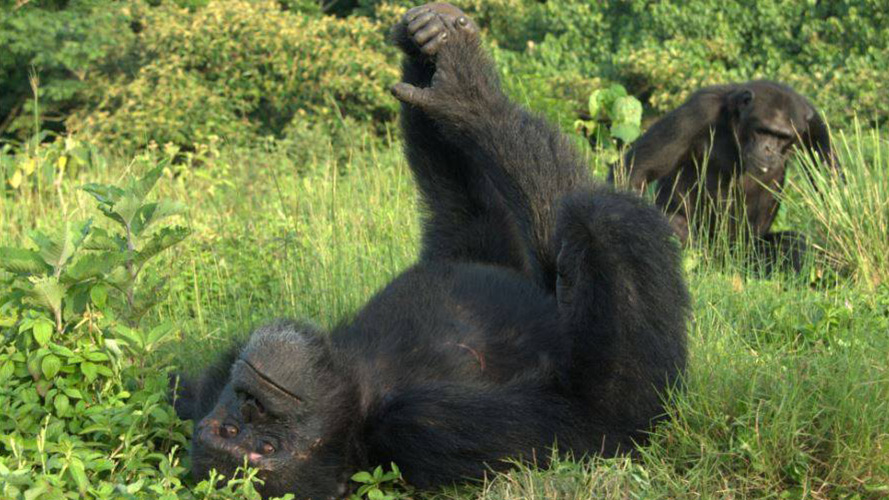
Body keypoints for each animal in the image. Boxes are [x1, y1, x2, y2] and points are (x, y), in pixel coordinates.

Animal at [172, 1, 688, 498]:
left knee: (462, 201)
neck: (356, 383)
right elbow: (597, 421)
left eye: (243, 419)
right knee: (582, 220)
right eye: (261, 443)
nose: (255, 398)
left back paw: (439, 50)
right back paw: (474, 98)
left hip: (475, 246)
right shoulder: (424, 426)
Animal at [608, 80, 836, 272]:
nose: (769, 149)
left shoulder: (811, 120)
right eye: (762, 130)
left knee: (794, 244)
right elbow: (637, 169)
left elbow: (829, 175)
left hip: (746, 253)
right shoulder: (697, 112)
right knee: (676, 226)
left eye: (782, 136)